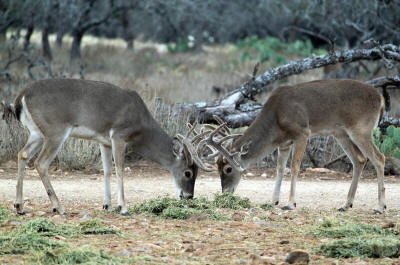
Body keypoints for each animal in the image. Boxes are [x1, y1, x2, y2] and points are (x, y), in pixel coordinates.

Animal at [5, 78, 212, 214]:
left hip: (37, 132)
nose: (189, 196)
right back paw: (59, 207)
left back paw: (19, 206)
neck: (141, 125)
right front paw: (123, 207)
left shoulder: (103, 141)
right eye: (188, 172)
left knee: (22, 154)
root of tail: (21, 97)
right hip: (55, 130)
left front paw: (107, 205)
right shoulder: (119, 135)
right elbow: (120, 169)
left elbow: (106, 171)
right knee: (41, 163)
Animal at [197, 78, 388, 212]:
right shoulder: (284, 143)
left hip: (361, 129)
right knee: (360, 160)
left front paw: (290, 203)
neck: (276, 117)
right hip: (341, 133)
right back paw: (346, 204)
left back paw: (380, 207)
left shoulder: (302, 133)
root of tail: (380, 99)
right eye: (217, 167)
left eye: (228, 168)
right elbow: (280, 168)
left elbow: (295, 167)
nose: (225, 192)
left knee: (379, 158)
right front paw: (273, 200)